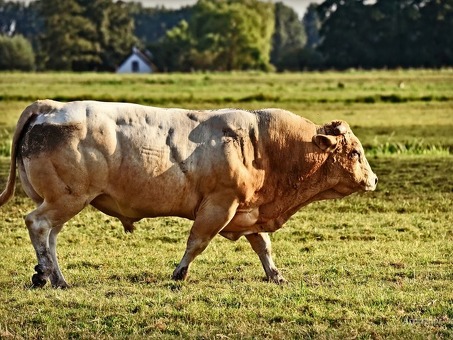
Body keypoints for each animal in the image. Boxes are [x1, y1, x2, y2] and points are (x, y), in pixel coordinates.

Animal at [0, 100, 376, 286]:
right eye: (355, 152)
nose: (372, 179)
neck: (263, 147)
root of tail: (49, 107)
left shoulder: (248, 210)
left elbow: (263, 246)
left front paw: (276, 275)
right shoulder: (220, 205)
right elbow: (197, 242)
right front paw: (179, 273)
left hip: (60, 200)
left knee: (49, 235)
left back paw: (51, 275)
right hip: (67, 198)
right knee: (38, 226)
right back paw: (52, 276)